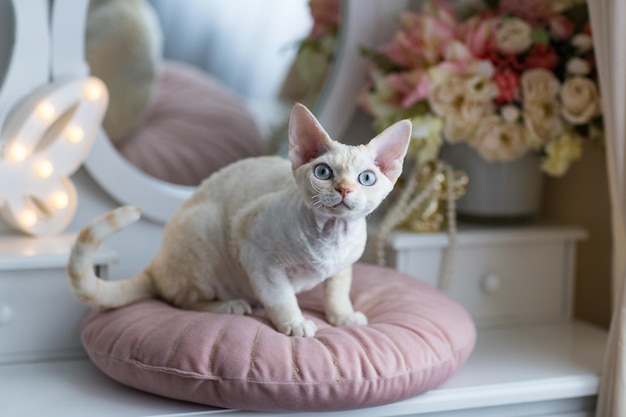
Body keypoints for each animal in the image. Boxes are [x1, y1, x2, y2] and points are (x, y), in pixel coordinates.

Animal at [68, 102, 410, 336]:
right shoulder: (257, 254)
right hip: (203, 234)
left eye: (366, 178)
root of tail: (157, 261)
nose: (343, 189)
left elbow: (337, 292)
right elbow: (281, 296)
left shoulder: (343, 266)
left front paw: (343, 316)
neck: (331, 236)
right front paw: (295, 322)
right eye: (323, 172)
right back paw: (228, 305)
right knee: (178, 298)